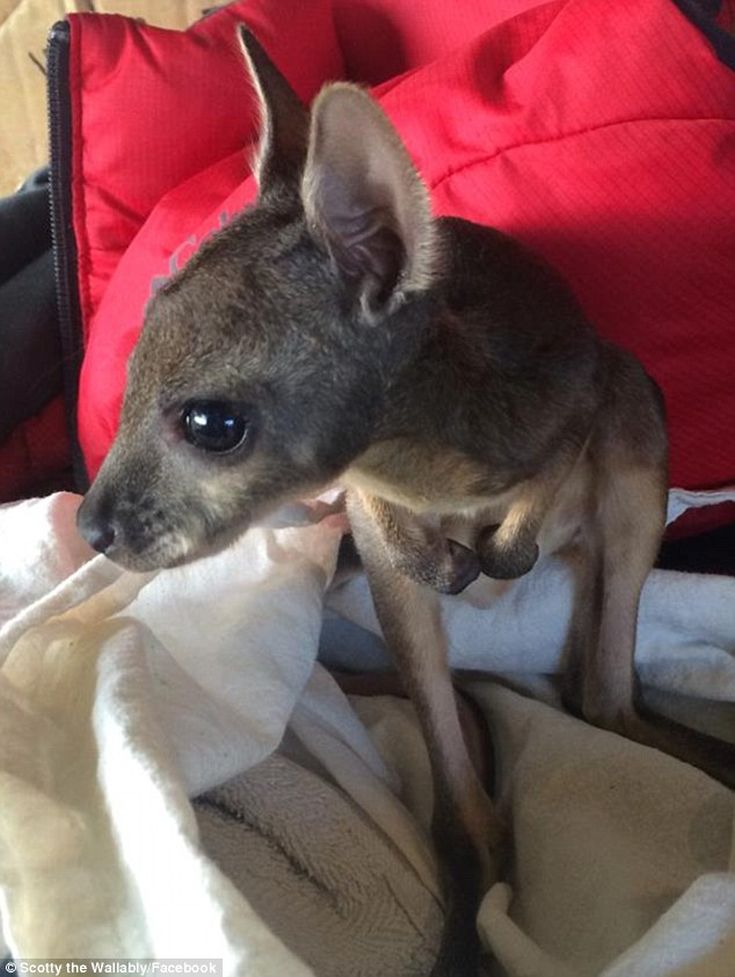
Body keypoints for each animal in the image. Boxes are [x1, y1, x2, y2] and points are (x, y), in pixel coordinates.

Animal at [77, 28, 735, 976]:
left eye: (213, 424)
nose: (91, 527)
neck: (415, 459)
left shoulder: (582, 388)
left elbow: (533, 497)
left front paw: (492, 551)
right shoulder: (363, 497)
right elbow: (402, 535)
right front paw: (453, 558)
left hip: (638, 424)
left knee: (604, 693)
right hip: (405, 603)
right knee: (479, 790)